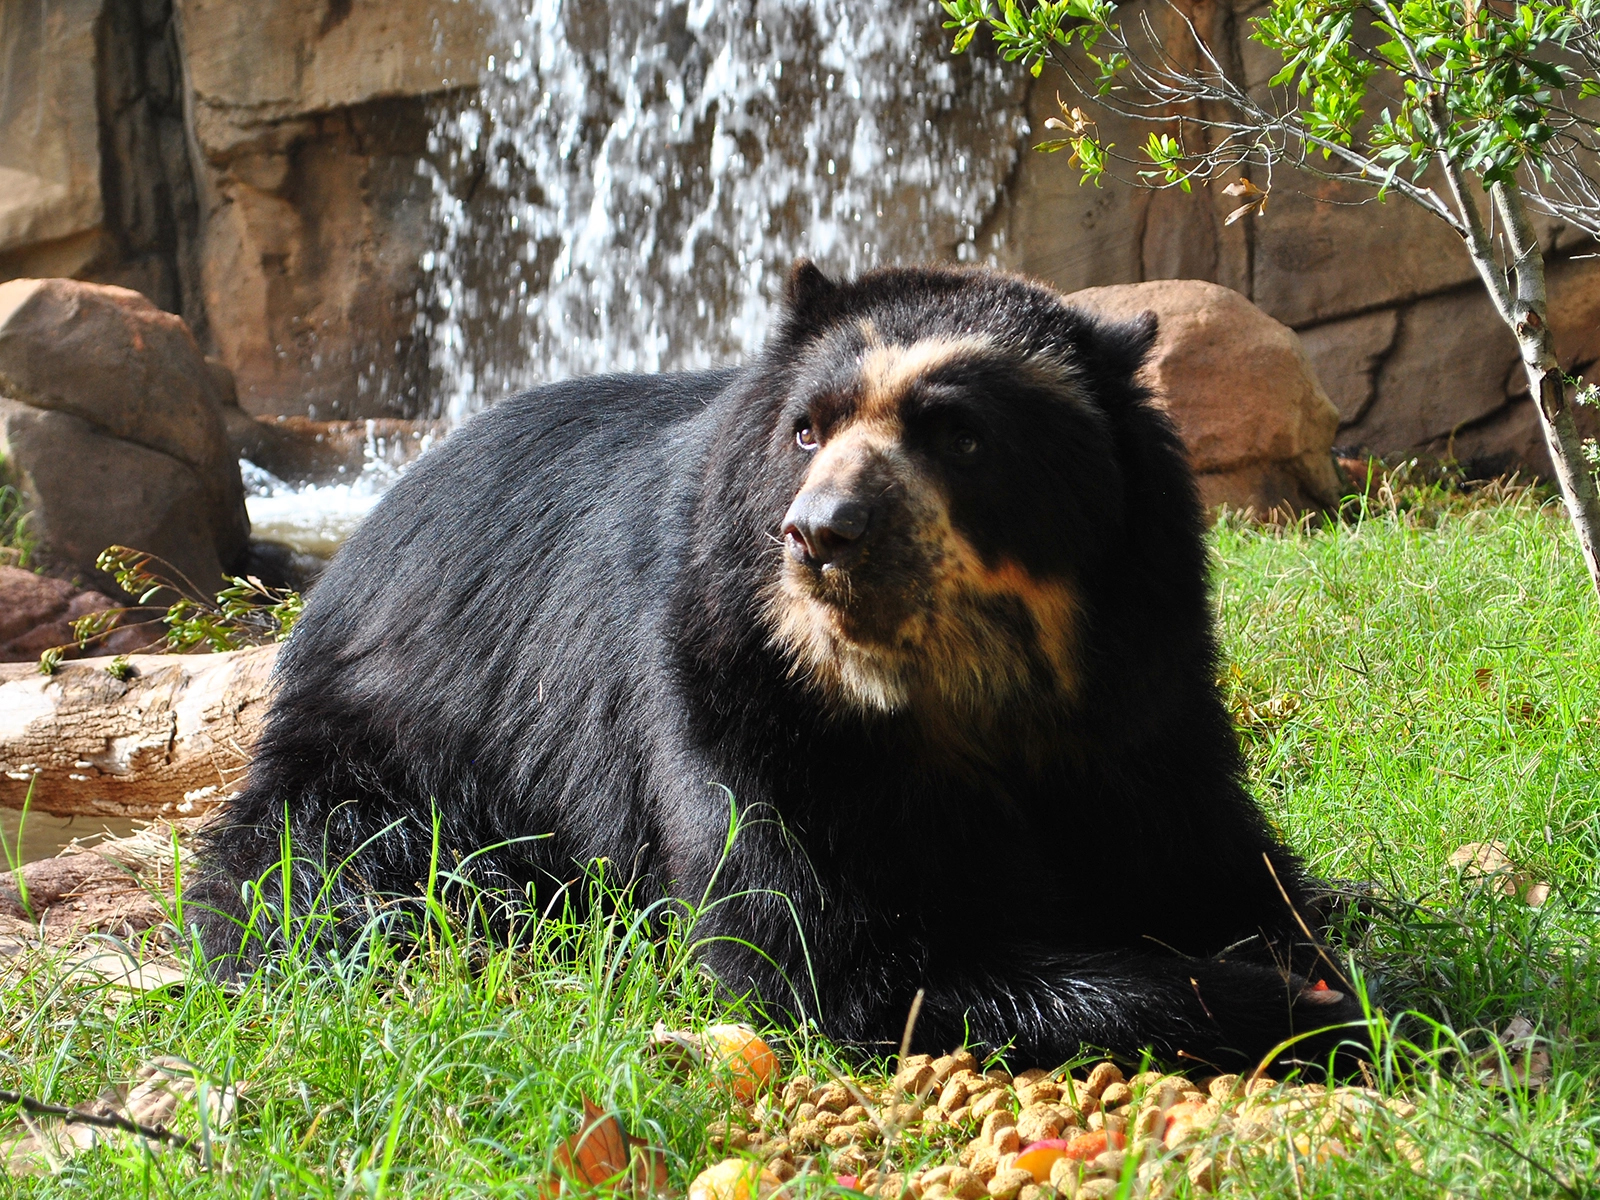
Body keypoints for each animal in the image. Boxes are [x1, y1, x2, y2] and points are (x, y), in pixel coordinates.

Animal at [194, 261, 1364, 1071]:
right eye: (808, 430)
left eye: (960, 436)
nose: (822, 532)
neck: (948, 688)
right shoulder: (740, 697)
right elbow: (835, 953)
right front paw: (1294, 1005)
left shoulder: (1140, 685)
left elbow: (1206, 853)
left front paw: (1303, 946)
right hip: (398, 745)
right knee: (342, 874)